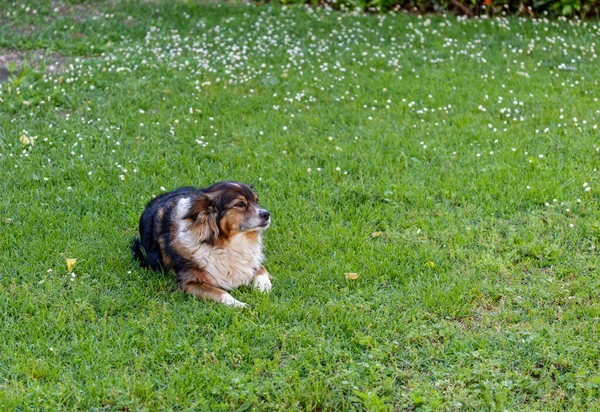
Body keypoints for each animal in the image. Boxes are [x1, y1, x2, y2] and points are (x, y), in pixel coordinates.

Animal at [133, 182, 272, 308]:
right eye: (240, 204)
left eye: (256, 201)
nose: (267, 214)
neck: (226, 243)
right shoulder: (189, 283)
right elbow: (220, 293)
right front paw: (239, 304)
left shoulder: (253, 261)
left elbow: (262, 273)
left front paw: (263, 291)